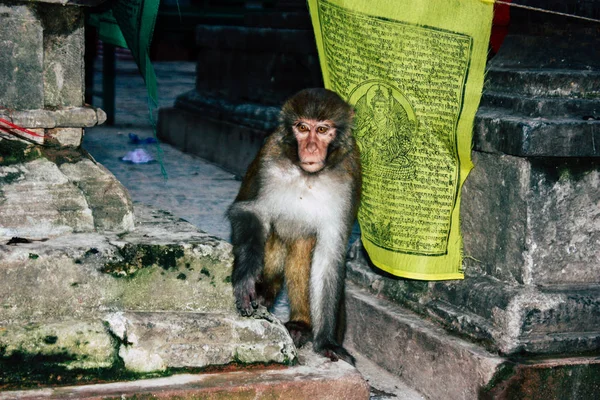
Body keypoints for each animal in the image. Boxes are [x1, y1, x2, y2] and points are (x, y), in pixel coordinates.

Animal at [227, 88, 360, 366]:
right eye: (302, 127)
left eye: (322, 130)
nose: (310, 148)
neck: (307, 175)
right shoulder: (268, 155)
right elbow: (248, 211)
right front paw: (246, 276)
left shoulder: (350, 173)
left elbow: (329, 254)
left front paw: (326, 341)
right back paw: (263, 292)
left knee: (305, 242)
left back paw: (301, 326)